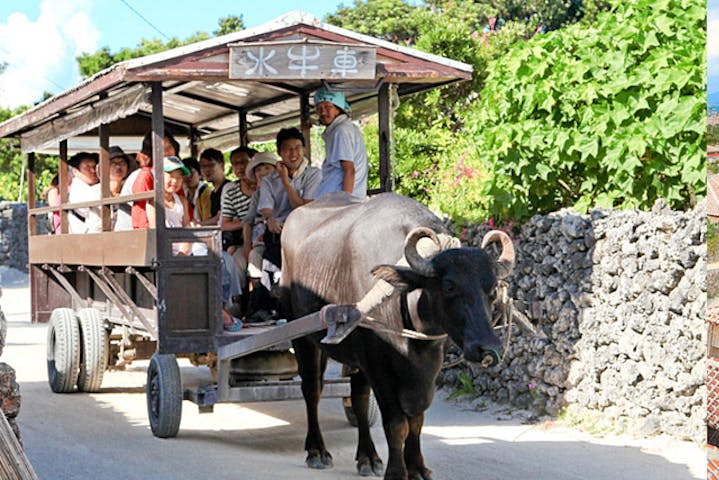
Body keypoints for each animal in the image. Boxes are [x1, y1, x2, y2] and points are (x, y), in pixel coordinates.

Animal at [278, 192, 516, 480]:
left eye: (492, 288)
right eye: (449, 286)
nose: (488, 348)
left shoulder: (426, 369)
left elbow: (416, 419)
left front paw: (416, 467)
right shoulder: (378, 365)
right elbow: (396, 422)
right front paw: (396, 471)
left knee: (358, 398)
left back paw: (367, 456)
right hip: (302, 336)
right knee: (312, 389)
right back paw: (317, 450)